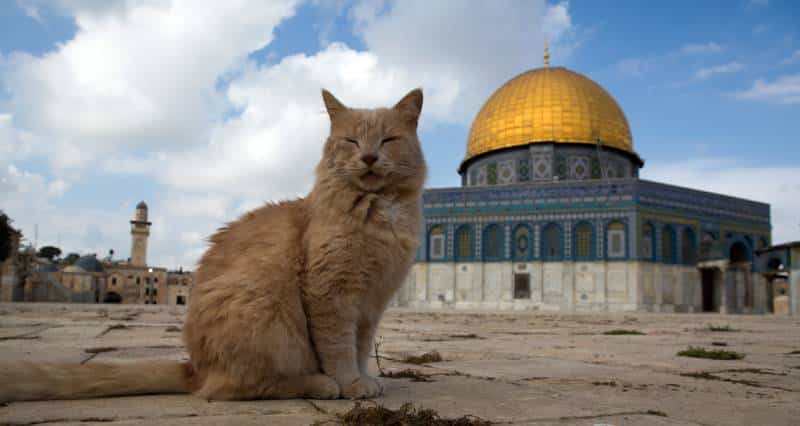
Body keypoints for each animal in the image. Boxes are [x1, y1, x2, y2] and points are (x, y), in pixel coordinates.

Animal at [0, 88, 424, 402]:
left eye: (387, 140)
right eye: (352, 141)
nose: (369, 157)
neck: (378, 212)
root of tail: (194, 368)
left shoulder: (371, 305)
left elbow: (361, 349)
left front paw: (365, 380)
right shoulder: (331, 296)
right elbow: (338, 350)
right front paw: (349, 384)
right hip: (262, 311)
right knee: (234, 389)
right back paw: (319, 385)